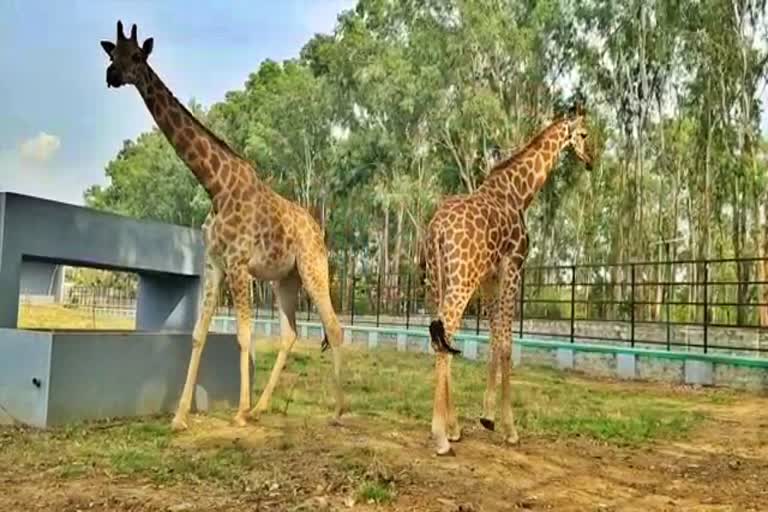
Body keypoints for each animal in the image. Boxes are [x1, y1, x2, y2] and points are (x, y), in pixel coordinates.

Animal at [100, 20, 346, 430]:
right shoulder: (215, 263)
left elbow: (244, 335)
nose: (111, 76)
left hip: (314, 269)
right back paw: (263, 407)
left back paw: (338, 412)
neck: (214, 186)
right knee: (291, 333)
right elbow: (199, 334)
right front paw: (180, 416)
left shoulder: (238, 264)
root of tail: (318, 230)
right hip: (284, 280)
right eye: (111, 54)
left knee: (334, 327)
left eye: (136, 55)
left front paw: (239, 413)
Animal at [420, 104, 592, 456]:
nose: (591, 160)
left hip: (438, 280)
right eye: (584, 134)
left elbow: (494, 339)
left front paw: (486, 417)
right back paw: (441, 437)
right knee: (445, 334)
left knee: (440, 336)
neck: (520, 192)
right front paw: (510, 429)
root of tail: (437, 230)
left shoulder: (490, 277)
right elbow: (508, 345)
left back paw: (451, 428)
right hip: (461, 280)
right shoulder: (513, 265)